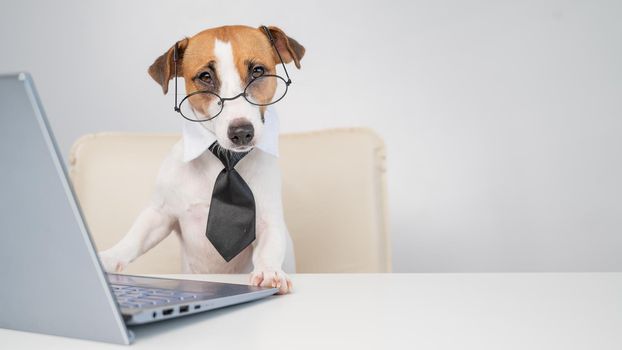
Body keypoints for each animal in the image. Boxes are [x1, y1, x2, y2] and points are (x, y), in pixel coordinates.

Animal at [97, 23, 308, 296]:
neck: (226, 161)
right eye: (205, 76)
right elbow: (136, 237)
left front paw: (269, 271)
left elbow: (269, 247)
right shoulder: (160, 213)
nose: (241, 132)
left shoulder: (269, 220)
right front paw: (109, 257)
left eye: (258, 71)